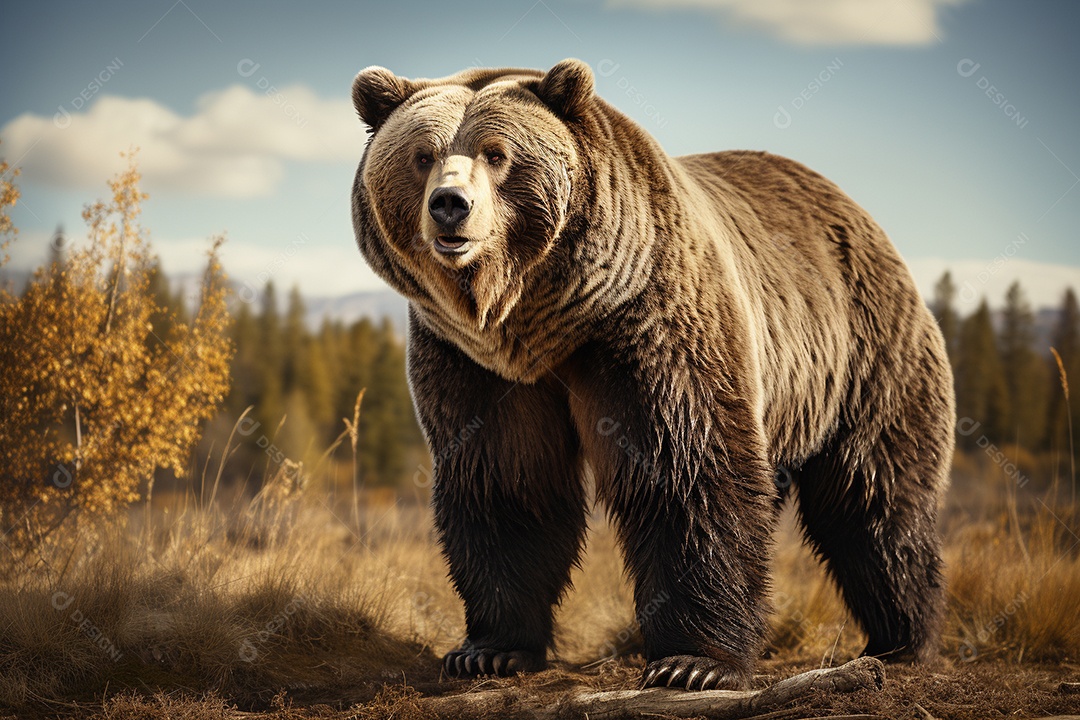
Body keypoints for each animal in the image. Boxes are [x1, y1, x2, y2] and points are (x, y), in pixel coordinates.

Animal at [350, 58, 954, 690]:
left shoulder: (647, 319)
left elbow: (685, 469)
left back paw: (903, 638)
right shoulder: (473, 363)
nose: (450, 204)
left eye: (496, 154)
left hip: (863, 354)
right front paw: (488, 650)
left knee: (873, 498)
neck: (541, 317)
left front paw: (694, 664)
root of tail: (854, 208)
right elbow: (507, 479)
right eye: (422, 155)